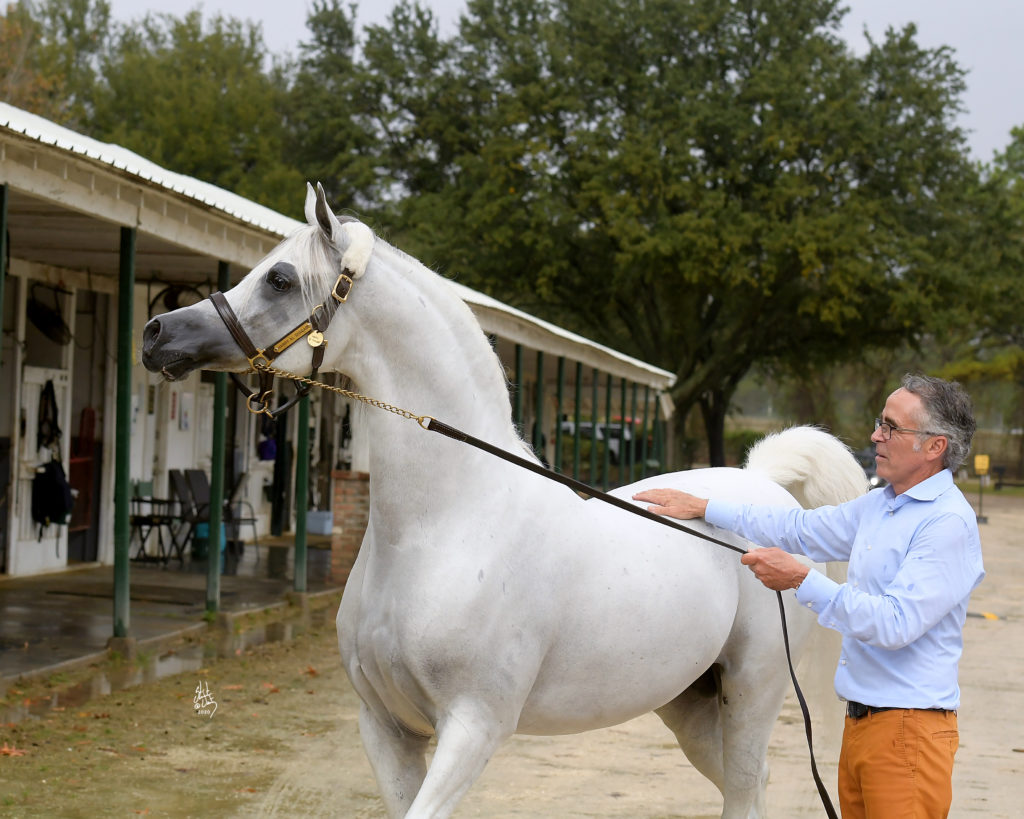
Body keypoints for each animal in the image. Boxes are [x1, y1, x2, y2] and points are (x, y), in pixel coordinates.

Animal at [142, 183, 868, 818]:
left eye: (280, 279)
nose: (157, 334)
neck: (446, 525)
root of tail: (762, 483)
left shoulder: (473, 726)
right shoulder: (385, 728)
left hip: (751, 691)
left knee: (747, 787)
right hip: (688, 703)